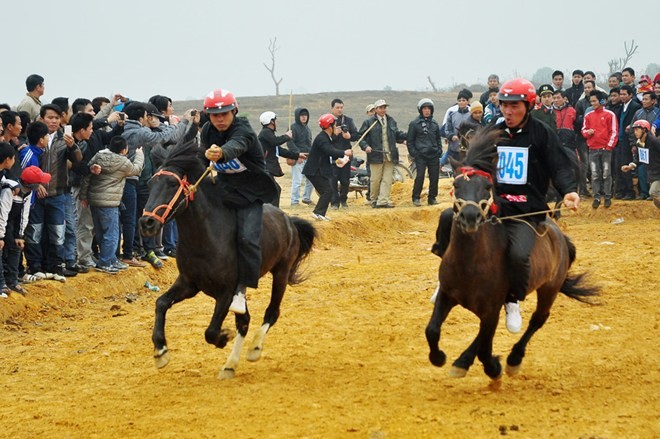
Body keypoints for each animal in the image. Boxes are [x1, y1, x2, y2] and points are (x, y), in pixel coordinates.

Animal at [138, 126, 316, 378]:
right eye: (152, 184)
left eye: (172, 185)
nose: (147, 223)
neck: (205, 238)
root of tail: (289, 220)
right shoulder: (189, 283)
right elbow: (161, 303)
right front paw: (160, 351)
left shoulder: (226, 290)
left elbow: (211, 331)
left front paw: (224, 336)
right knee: (246, 320)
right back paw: (230, 365)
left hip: (281, 272)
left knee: (271, 313)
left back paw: (254, 349)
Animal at [426, 129, 596, 380]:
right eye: (456, 184)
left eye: (487, 186)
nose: (470, 217)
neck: (470, 265)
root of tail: (560, 237)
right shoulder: (448, 295)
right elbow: (432, 330)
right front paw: (438, 357)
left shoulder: (491, 309)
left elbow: (484, 347)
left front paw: (491, 367)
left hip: (549, 289)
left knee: (538, 319)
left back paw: (512, 358)